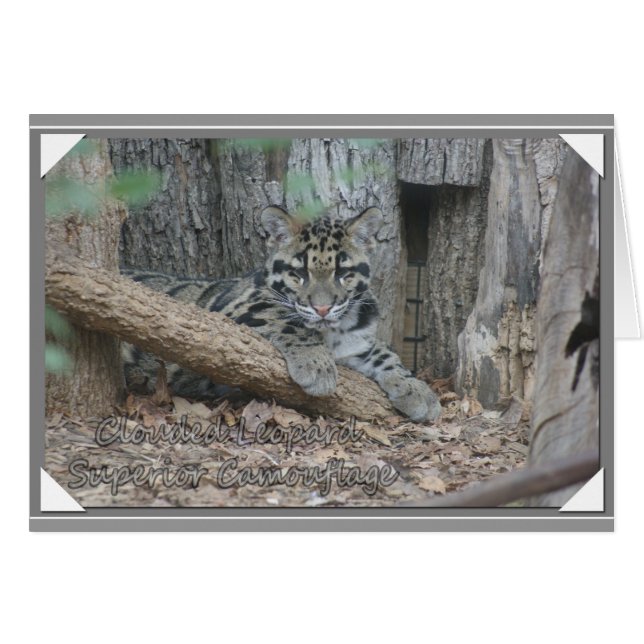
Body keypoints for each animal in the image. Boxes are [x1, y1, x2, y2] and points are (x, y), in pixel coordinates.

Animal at [122, 205, 442, 422]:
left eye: (343, 273)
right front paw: (317, 365)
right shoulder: (234, 308)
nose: (322, 308)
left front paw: (417, 389)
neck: (332, 331)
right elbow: (288, 318)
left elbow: (384, 353)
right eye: (299, 273)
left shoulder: (357, 341)